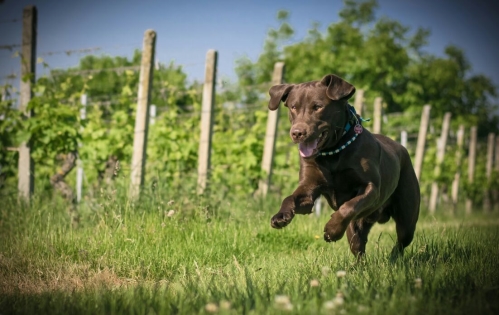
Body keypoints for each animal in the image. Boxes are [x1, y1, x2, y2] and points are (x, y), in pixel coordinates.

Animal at [268, 74, 420, 260]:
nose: (297, 133)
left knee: (401, 241)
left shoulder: (372, 189)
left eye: (318, 107)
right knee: (358, 245)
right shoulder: (309, 188)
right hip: (358, 226)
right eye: (293, 107)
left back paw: (393, 259)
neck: (333, 152)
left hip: (407, 216)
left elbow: (349, 206)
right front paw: (280, 216)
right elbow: (290, 198)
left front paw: (332, 230)